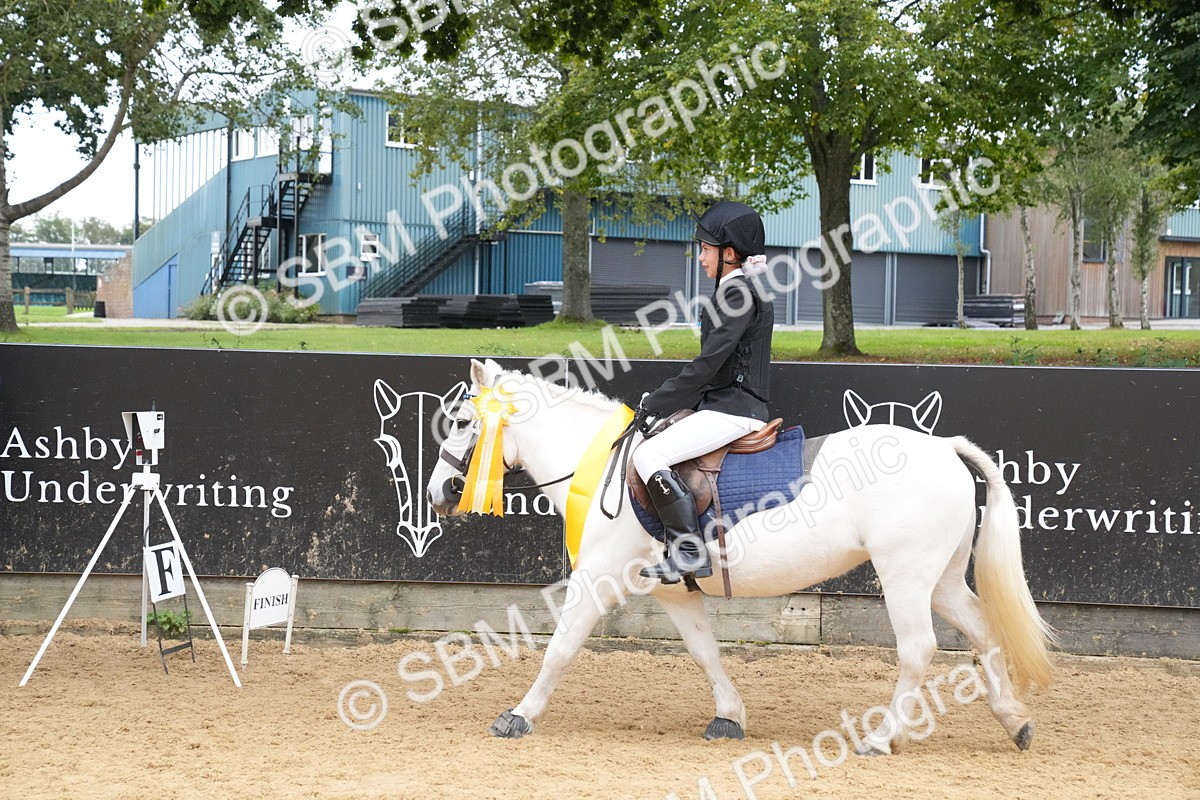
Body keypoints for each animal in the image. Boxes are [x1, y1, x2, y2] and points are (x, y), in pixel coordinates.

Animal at [426, 358, 1057, 754]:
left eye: (461, 422)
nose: (438, 493)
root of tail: (945, 449)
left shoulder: (597, 580)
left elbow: (558, 650)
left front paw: (518, 716)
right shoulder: (671, 591)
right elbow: (705, 653)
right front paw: (730, 717)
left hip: (905, 575)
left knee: (918, 649)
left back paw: (882, 739)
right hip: (942, 579)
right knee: (983, 631)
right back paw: (1015, 722)